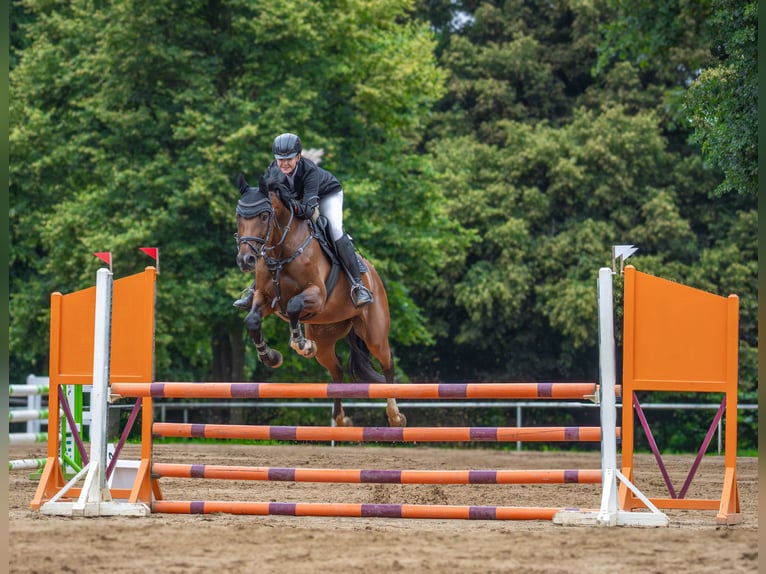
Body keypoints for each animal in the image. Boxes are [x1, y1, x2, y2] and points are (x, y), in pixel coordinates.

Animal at [234, 172, 406, 428]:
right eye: (239, 216)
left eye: (264, 216)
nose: (245, 260)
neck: (282, 251)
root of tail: (373, 275)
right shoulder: (264, 297)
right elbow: (252, 320)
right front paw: (271, 357)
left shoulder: (317, 295)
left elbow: (294, 305)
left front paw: (300, 343)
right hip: (325, 335)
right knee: (336, 370)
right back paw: (340, 419)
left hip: (374, 333)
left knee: (387, 363)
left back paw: (395, 416)